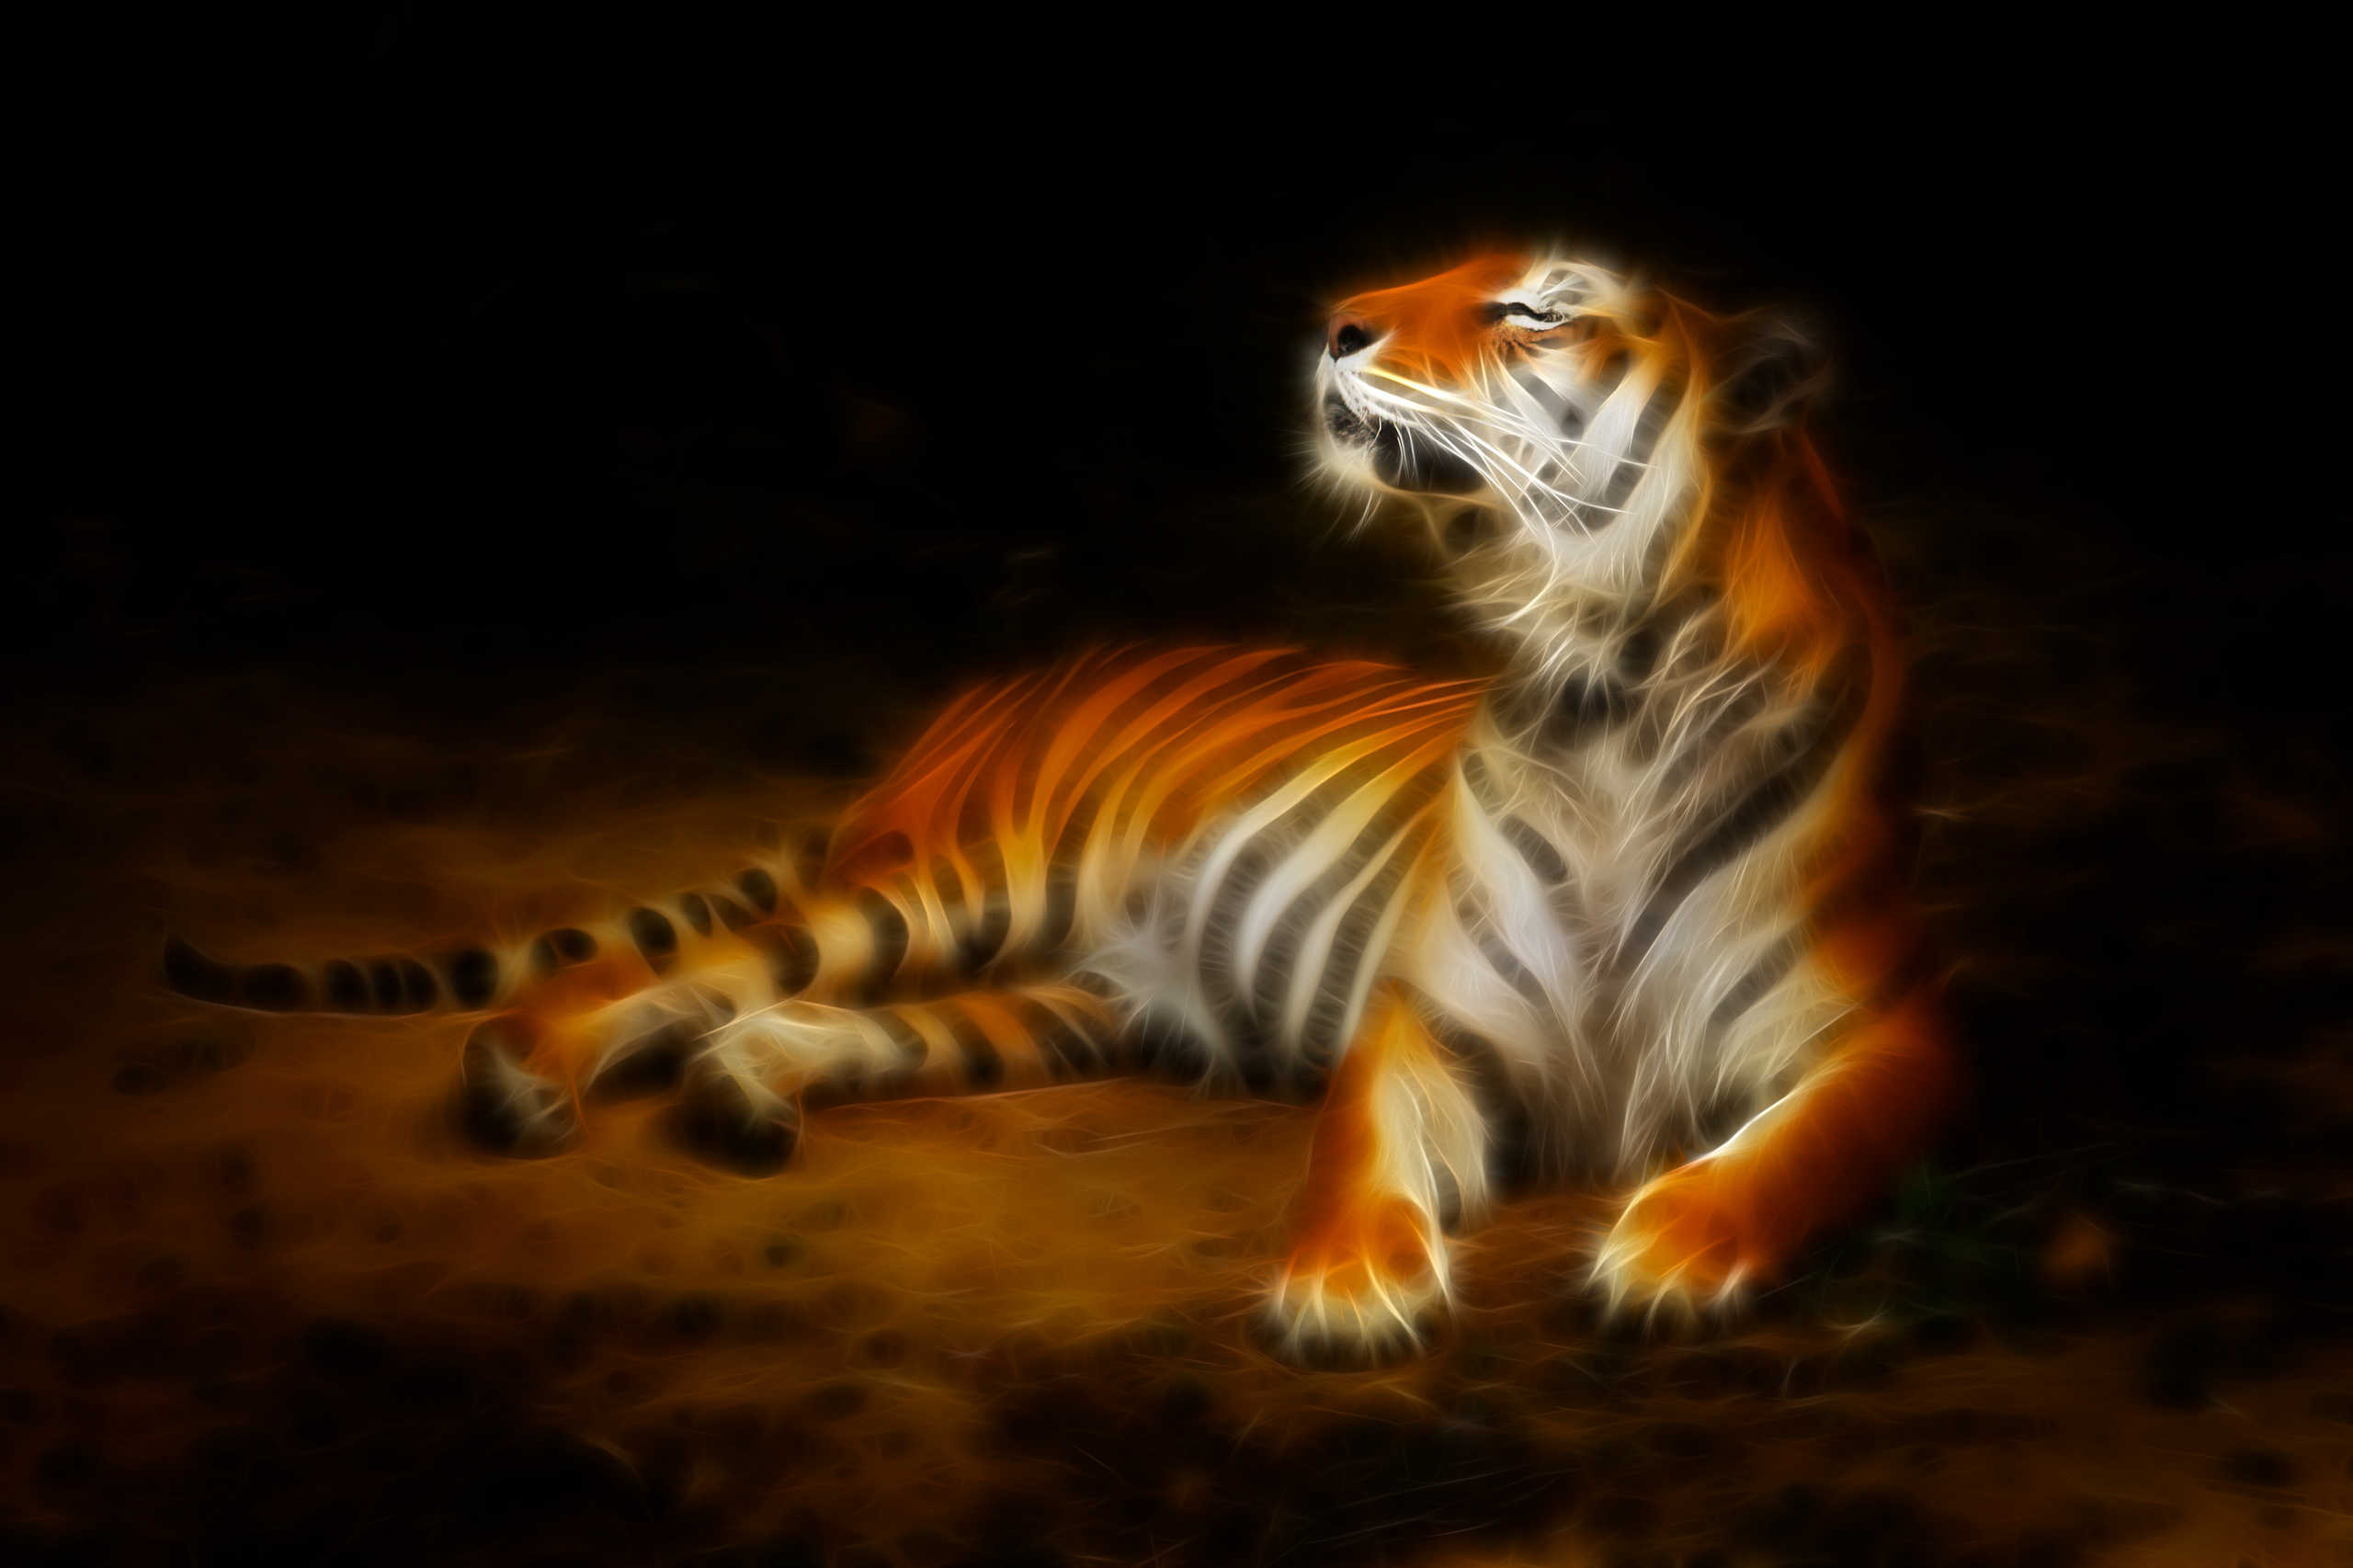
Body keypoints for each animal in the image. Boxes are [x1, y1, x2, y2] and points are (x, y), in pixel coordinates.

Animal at [163, 246, 1954, 1361]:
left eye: (1534, 308)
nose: (1339, 323)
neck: (1608, 682)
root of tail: (991, 688)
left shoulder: (1886, 1040)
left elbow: (1799, 1149)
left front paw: (1673, 1249)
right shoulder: (1422, 1020)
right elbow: (1360, 1151)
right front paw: (1343, 1287)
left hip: (1071, 998)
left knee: (778, 1019)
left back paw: (740, 1101)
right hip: (951, 891)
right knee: (659, 975)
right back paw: (522, 1078)